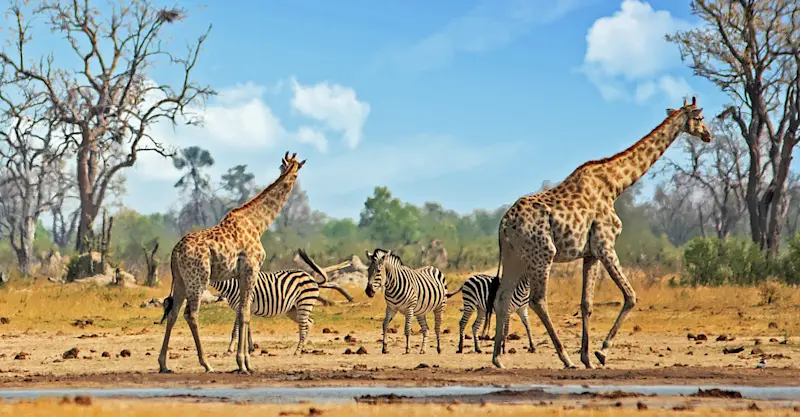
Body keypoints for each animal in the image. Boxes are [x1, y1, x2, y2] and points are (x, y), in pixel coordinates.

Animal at [158, 152, 306, 374]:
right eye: (296, 172)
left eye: (286, 167)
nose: (292, 179)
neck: (258, 224)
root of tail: (175, 252)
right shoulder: (251, 269)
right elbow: (245, 313)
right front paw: (244, 363)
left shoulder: (241, 274)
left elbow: (242, 313)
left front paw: (244, 361)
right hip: (198, 279)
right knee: (191, 314)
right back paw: (206, 364)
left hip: (181, 280)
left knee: (173, 312)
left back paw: (164, 364)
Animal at [210, 248, 341, 355]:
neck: (232, 283)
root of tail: (311, 277)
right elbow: (248, 330)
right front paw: (250, 349)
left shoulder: (240, 307)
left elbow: (236, 330)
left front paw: (230, 350)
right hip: (293, 309)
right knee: (309, 322)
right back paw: (302, 348)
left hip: (304, 303)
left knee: (304, 326)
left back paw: (297, 351)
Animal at [486, 97, 712, 370]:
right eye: (700, 118)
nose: (708, 135)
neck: (615, 185)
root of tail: (504, 224)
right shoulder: (606, 245)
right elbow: (630, 296)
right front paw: (602, 351)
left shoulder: (590, 253)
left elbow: (587, 303)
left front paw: (587, 358)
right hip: (543, 253)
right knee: (538, 300)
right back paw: (564, 358)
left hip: (515, 257)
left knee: (502, 297)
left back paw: (498, 359)